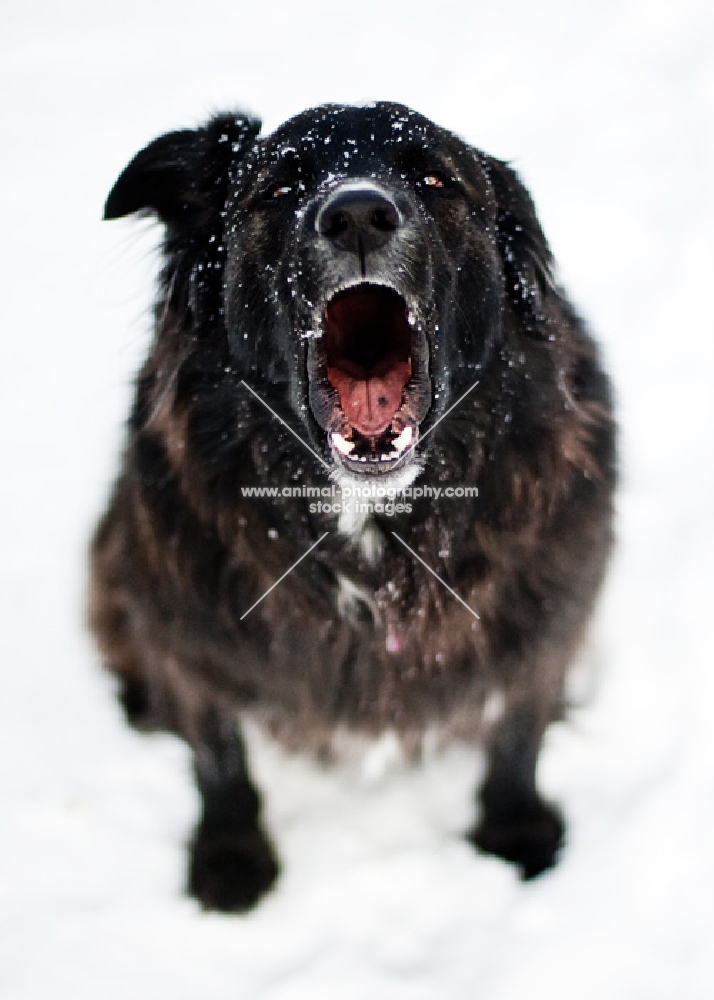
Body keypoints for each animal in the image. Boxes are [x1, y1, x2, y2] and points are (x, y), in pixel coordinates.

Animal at [87, 103, 612, 916]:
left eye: (435, 178)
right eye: (280, 188)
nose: (359, 212)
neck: (370, 524)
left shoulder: (552, 608)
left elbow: (519, 726)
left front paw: (514, 829)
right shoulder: (185, 623)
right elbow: (217, 753)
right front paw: (230, 857)